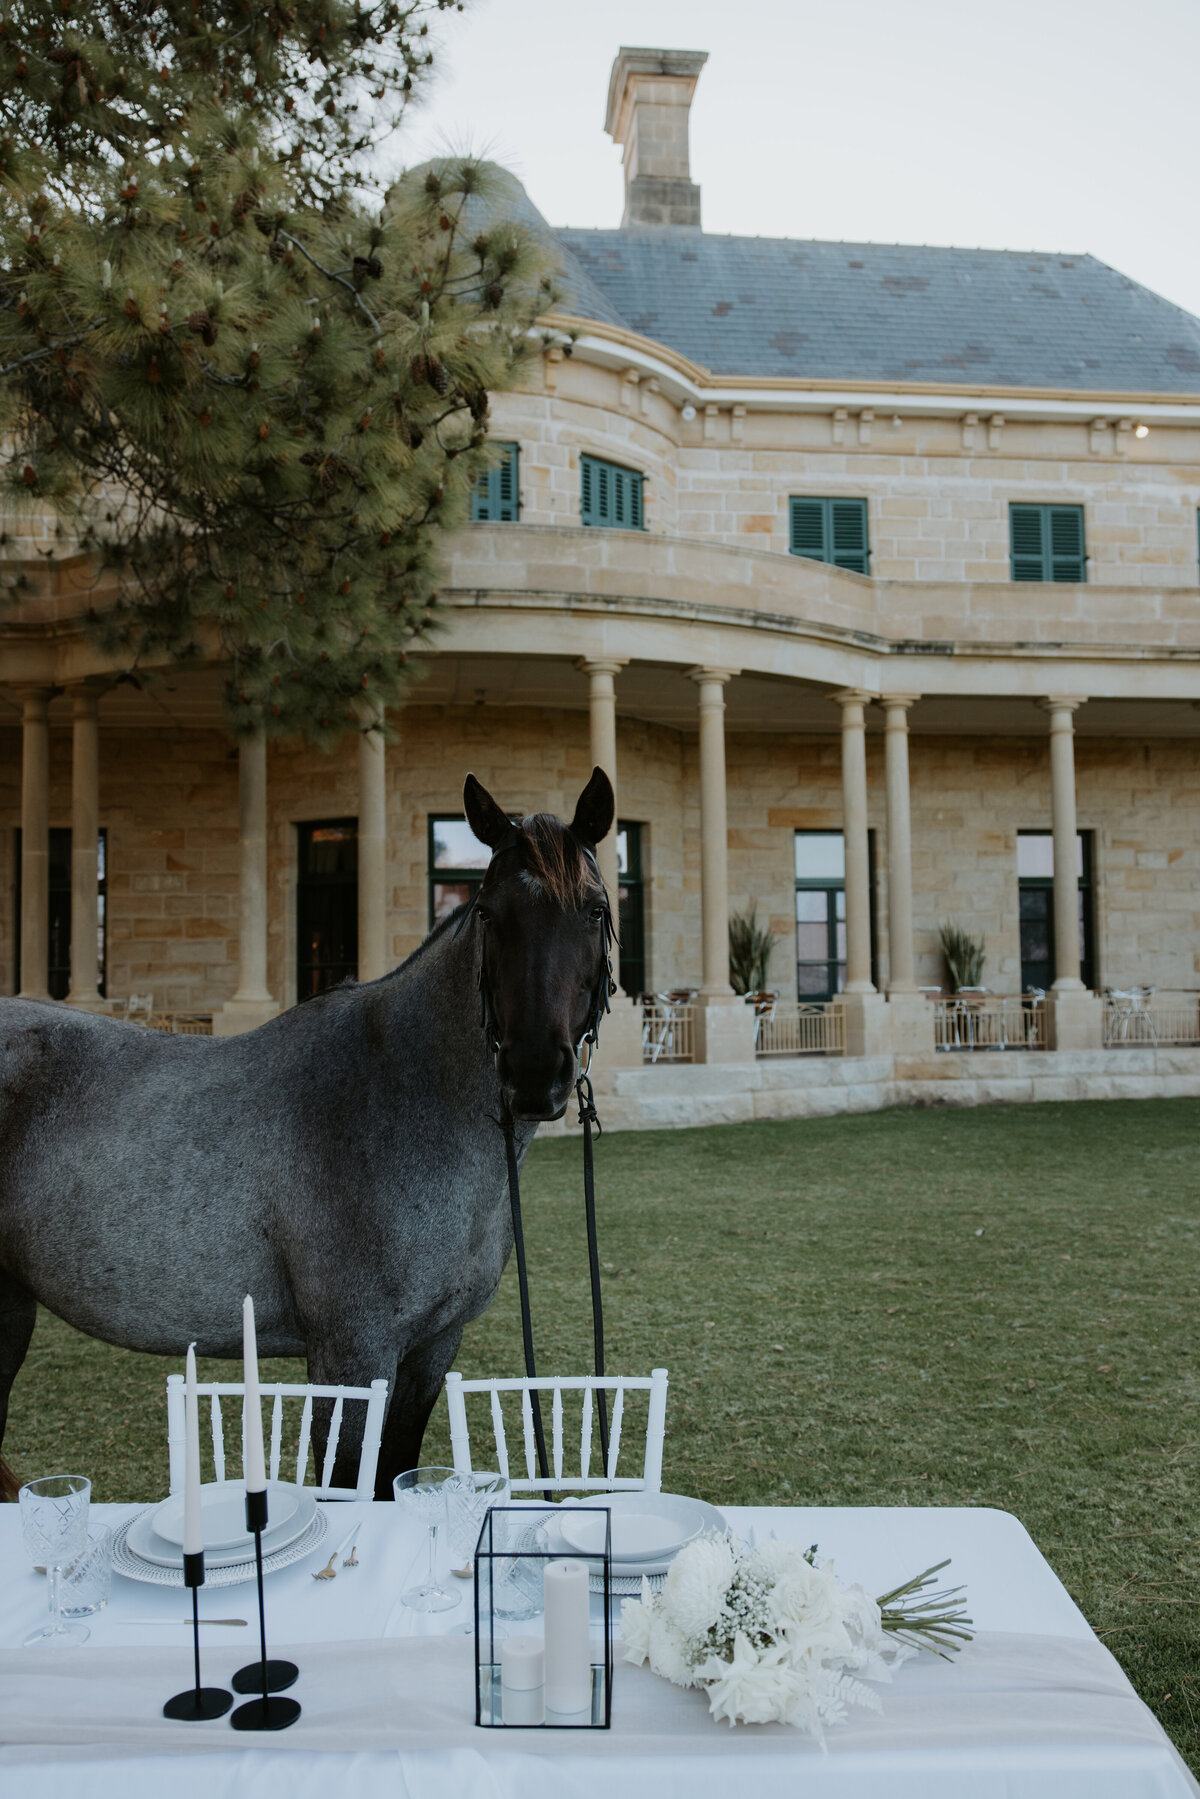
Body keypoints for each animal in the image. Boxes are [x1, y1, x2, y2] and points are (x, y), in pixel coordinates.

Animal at [0, 766, 618, 1496]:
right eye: (490, 914)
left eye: (595, 910)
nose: (533, 1071)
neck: (396, 1091)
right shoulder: (351, 1357)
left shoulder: (430, 1351)